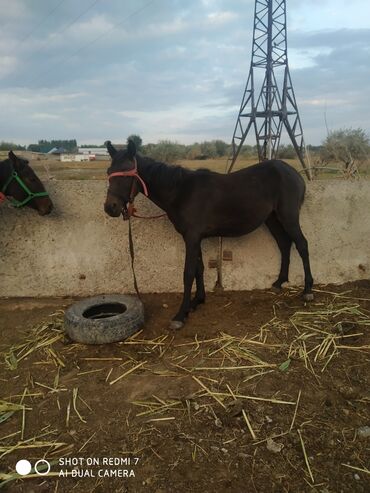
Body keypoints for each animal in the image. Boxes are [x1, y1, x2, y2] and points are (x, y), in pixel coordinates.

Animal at [103, 140, 312, 328]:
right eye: (109, 173)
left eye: (126, 173)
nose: (110, 207)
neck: (181, 191)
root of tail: (294, 173)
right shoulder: (194, 238)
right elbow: (199, 268)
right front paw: (197, 301)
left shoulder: (192, 237)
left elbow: (188, 273)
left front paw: (180, 315)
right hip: (272, 219)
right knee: (284, 244)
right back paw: (279, 282)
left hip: (288, 217)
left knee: (302, 245)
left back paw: (308, 290)